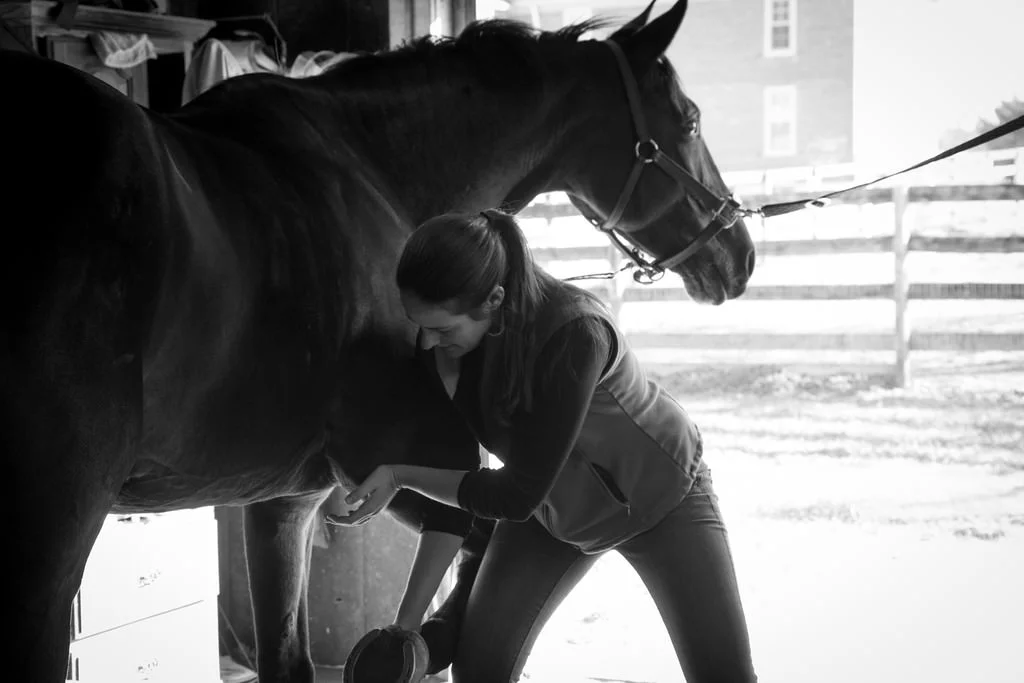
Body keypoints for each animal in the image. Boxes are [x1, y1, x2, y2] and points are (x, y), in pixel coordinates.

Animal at [0, 0, 755, 680]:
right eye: (688, 120)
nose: (738, 253)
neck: (370, 167)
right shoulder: (377, 460)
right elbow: (476, 531)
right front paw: (431, 640)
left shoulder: (281, 499)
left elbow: (289, 656)